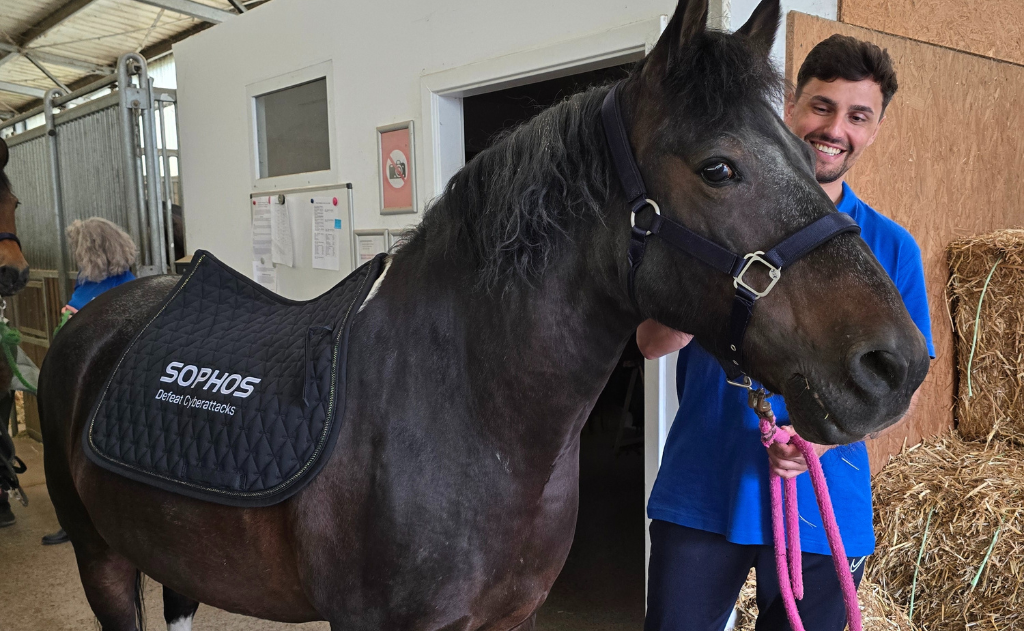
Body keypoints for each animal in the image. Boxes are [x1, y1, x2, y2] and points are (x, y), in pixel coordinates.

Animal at [36, 0, 933, 626]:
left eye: (806, 148)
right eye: (719, 167)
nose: (894, 364)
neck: (468, 410)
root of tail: (95, 324)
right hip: (101, 561)